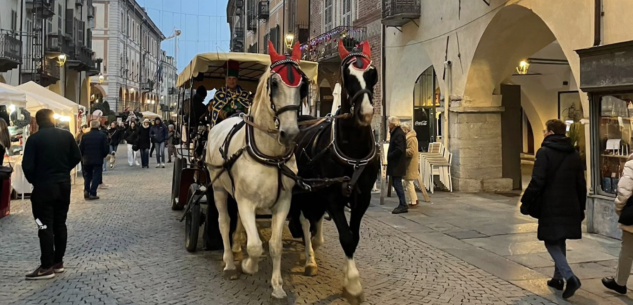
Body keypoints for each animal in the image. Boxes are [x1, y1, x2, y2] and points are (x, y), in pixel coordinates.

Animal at [206, 41, 308, 298]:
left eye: (302, 86)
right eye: (274, 83)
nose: (290, 133)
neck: (270, 155)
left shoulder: (283, 202)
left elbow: (275, 245)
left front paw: (277, 286)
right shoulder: (246, 201)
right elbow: (254, 246)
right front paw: (248, 265)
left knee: (238, 223)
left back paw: (236, 245)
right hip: (218, 188)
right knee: (224, 221)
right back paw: (230, 262)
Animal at [288, 39, 380, 302]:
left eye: (373, 74)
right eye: (347, 75)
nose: (366, 112)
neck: (353, 151)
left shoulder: (363, 197)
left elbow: (354, 236)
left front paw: (350, 278)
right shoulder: (332, 196)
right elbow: (346, 237)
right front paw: (353, 284)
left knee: (313, 219)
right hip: (303, 190)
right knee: (304, 220)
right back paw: (309, 258)